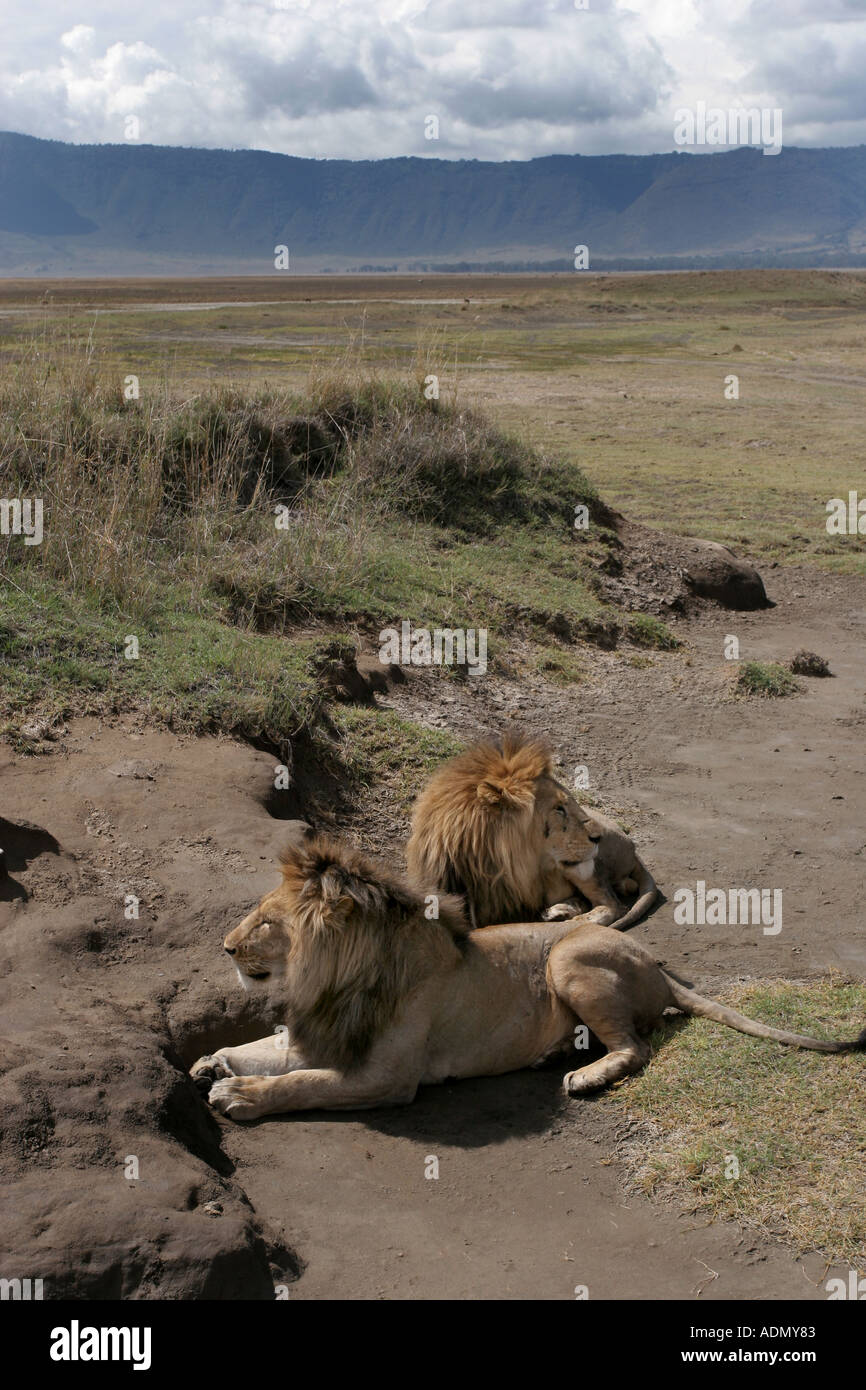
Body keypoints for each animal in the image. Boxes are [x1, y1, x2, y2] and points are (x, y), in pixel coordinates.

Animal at [187, 828, 861, 1123]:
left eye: (267, 921)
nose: (225, 946)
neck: (333, 984)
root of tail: (661, 969)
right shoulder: (319, 1037)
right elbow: (265, 1049)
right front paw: (212, 1062)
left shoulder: (388, 1077)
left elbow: (305, 1083)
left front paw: (240, 1096)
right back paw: (557, 1052)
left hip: (568, 958)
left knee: (637, 1047)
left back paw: (584, 1074)